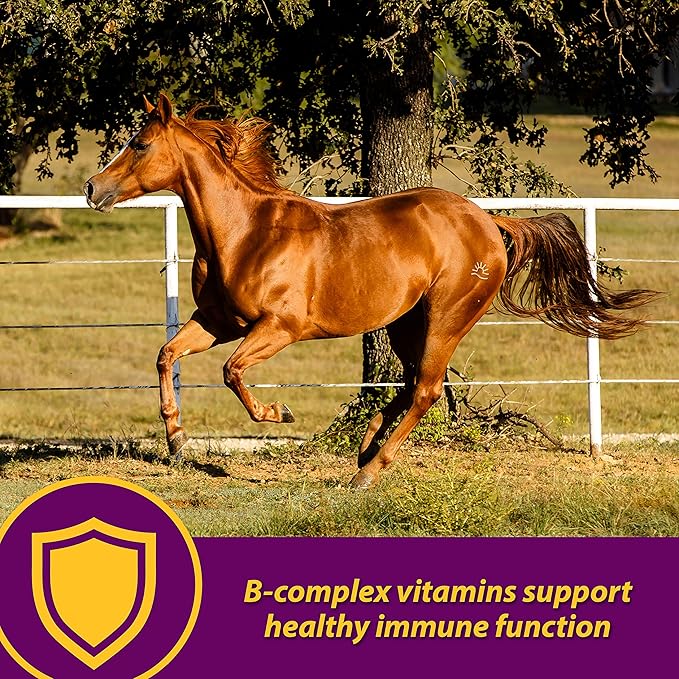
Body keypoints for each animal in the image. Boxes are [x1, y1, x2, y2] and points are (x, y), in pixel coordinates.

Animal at [83, 94, 657, 488]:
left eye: (139, 144)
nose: (92, 188)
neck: (246, 232)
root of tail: (490, 223)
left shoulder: (280, 328)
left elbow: (232, 372)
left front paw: (278, 413)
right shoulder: (218, 322)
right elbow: (166, 355)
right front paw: (176, 439)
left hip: (447, 316)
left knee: (427, 388)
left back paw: (369, 470)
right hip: (406, 321)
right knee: (410, 382)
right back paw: (364, 447)